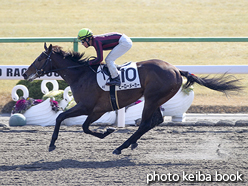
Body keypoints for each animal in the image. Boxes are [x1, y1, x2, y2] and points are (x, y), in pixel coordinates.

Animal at [23, 43, 242, 154]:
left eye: (40, 58)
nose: (25, 73)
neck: (81, 75)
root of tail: (176, 70)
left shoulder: (91, 107)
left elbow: (71, 121)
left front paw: (107, 131)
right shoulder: (93, 109)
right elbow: (74, 123)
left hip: (152, 98)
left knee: (145, 123)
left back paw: (121, 147)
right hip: (155, 99)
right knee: (154, 121)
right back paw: (131, 143)